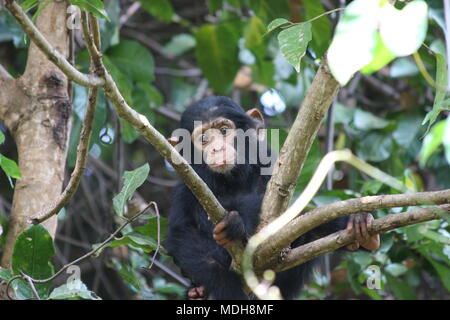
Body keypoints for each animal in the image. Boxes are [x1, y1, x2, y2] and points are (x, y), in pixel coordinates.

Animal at [163, 97, 378, 300]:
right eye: (204, 138)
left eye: (224, 130)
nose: (217, 149)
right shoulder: (187, 185)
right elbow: (181, 233)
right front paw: (225, 283)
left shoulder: (273, 167)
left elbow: (292, 211)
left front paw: (236, 222)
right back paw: (198, 293)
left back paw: (360, 230)